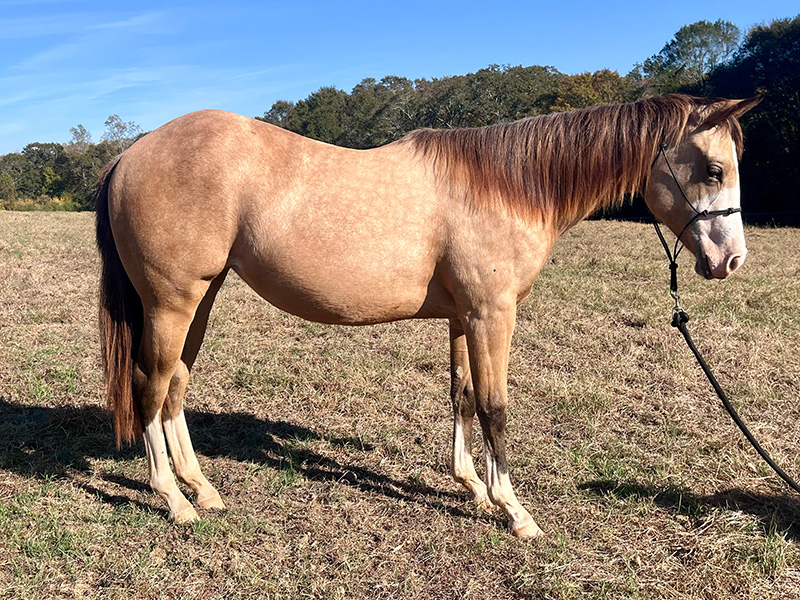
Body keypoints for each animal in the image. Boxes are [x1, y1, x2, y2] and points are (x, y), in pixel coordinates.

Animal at [97, 95, 760, 540]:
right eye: (713, 169)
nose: (730, 260)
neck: (506, 186)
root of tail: (132, 152)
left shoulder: (464, 317)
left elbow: (461, 395)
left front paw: (473, 487)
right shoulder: (493, 315)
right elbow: (494, 407)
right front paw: (514, 511)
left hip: (200, 299)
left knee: (175, 385)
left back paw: (202, 489)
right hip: (172, 302)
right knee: (150, 387)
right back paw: (174, 499)